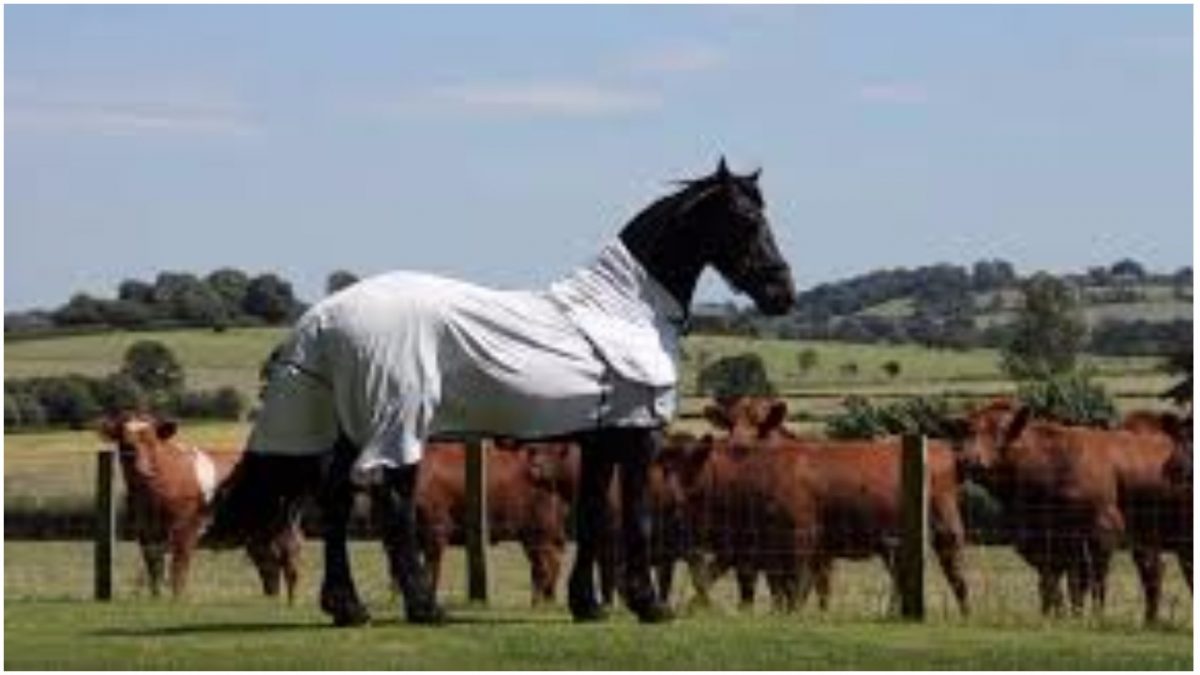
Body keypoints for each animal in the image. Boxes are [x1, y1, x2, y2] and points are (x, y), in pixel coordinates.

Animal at [99, 410, 304, 598]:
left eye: (152, 441)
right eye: (124, 442)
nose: (137, 465)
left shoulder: (185, 530)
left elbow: (178, 574)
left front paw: (176, 602)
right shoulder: (146, 534)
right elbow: (155, 574)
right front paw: (156, 600)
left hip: (286, 528)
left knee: (291, 566)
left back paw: (290, 605)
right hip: (256, 535)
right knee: (270, 570)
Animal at [415, 439, 578, 600]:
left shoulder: (435, 532)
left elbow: (430, 573)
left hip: (539, 533)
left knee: (545, 566)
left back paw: (540, 601)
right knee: (548, 566)